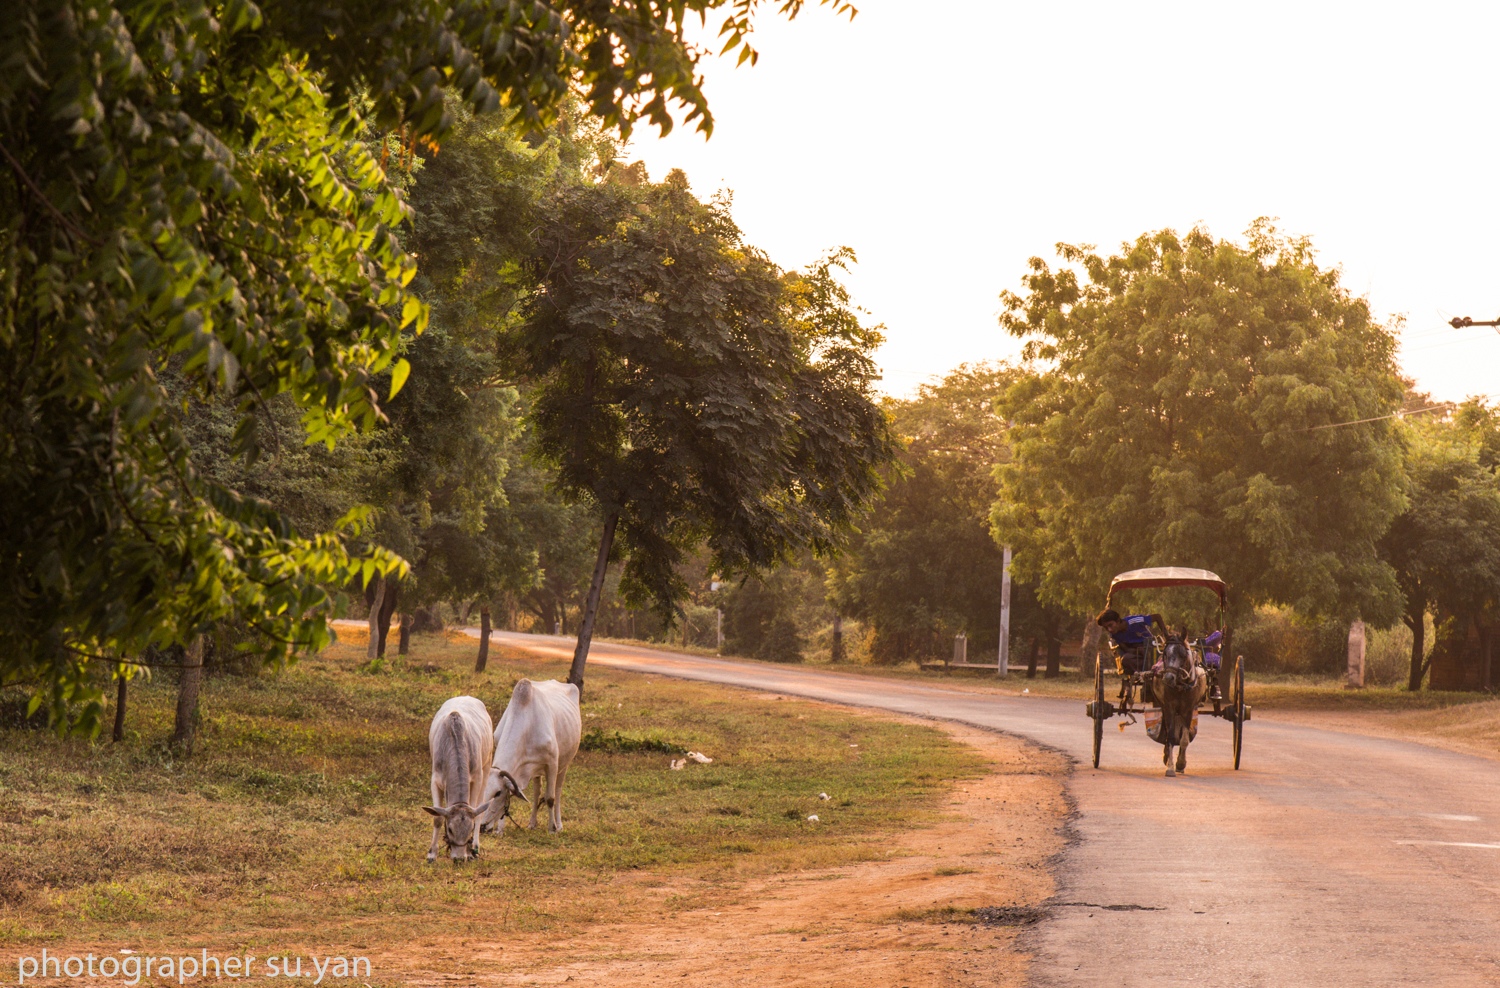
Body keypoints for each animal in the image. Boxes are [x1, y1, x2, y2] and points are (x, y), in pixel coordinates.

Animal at [426, 695, 495, 863]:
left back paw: (475, 848)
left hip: (487, 764)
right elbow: (437, 818)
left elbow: (476, 809)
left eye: (469, 829)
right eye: (450, 829)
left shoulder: (477, 777)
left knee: (481, 808)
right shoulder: (435, 778)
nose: (458, 858)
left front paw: (470, 852)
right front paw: (432, 854)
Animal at [480, 680, 579, 833]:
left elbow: (550, 798)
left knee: (558, 791)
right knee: (537, 792)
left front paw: (552, 828)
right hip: (537, 770)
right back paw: (532, 823)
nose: (481, 827)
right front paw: (500, 830)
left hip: (565, 764)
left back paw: (559, 825)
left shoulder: (552, 764)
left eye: (497, 793)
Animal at [1146, 632, 1206, 779]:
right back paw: (1166, 755)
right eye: (1165, 653)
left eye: (1183, 654)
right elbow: (1171, 737)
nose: (1168, 678)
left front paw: (1180, 763)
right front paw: (1170, 767)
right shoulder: (1169, 707)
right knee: (1168, 732)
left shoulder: (1188, 710)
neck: (1180, 686)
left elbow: (1184, 739)